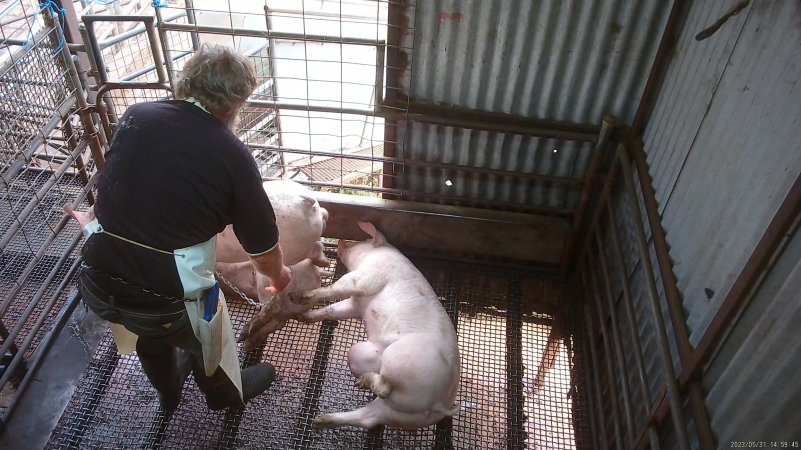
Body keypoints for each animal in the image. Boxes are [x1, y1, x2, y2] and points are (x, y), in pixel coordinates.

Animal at [290, 221, 460, 428]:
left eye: (363, 239)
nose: (342, 240)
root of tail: (440, 401)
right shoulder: (355, 305)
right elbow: (332, 310)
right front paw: (301, 316)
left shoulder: (365, 277)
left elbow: (335, 288)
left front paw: (297, 297)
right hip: (398, 412)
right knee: (369, 417)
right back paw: (320, 421)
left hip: (400, 358)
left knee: (384, 389)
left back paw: (361, 383)